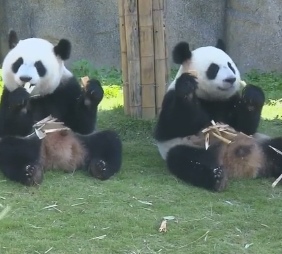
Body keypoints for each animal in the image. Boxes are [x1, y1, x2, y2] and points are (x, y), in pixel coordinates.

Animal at [0, 29, 122, 187]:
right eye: (18, 63)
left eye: (39, 66)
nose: (25, 78)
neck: (38, 94)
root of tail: (58, 159)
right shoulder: (8, 92)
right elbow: (10, 127)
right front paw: (20, 100)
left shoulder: (67, 87)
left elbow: (82, 125)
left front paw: (92, 93)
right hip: (29, 142)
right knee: (11, 149)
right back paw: (31, 172)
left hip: (82, 139)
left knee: (109, 140)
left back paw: (101, 167)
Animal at [153, 39, 282, 190]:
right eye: (213, 69)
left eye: (230, 66)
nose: (231, 79)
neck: (211, 97)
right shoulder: (170, 98)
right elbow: (172, 125)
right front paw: (187, 86)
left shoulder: (230, 101)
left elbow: (245, 127)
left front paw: (252, 96)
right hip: (190, 147)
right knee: (187, 160)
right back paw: (216, 177)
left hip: (260, 141)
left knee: (276, 146)